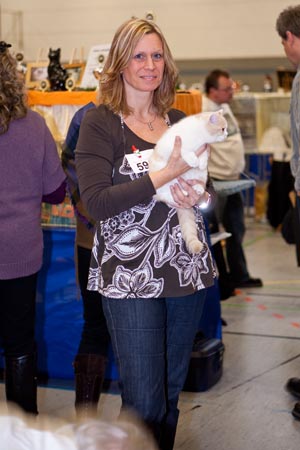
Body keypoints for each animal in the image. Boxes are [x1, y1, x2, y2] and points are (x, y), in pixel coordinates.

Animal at [148, 110, 227, 253]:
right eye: (223, 129)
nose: (226, 134)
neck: (199, 136)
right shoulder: (175, 146)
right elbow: (186, 151)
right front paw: (193, 159)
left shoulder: (203, 148)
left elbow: (203, 155)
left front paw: (202, 162)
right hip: (164, 186)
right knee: (164, 196)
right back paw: (183, 193)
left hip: (201, 176)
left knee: (198, 184)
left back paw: (195, 189)